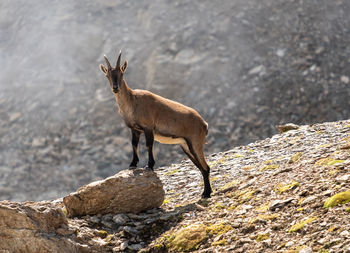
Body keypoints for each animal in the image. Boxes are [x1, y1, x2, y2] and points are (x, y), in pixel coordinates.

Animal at [100, 51, 212, 198]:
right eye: (107, 75)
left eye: (121, 73)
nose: (115, 88)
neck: (132, 101)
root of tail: (204, 123)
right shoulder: (135, 129)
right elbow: (134, 144)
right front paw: (133, 164)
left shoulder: (148, 127)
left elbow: (148, 145)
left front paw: (150, 165)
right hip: (186, 146)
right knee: (201, 167)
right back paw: (206, 192)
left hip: (196, 142)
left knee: (206, 167)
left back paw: (206, 193)